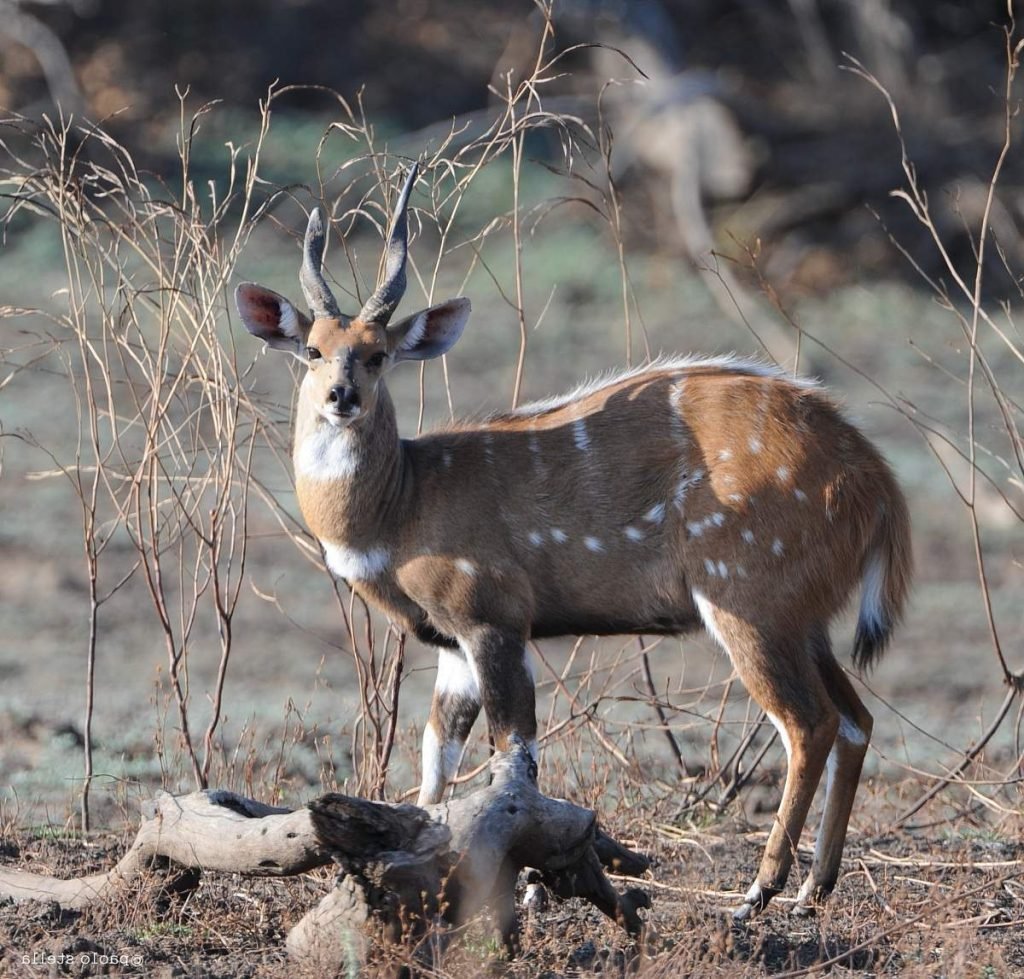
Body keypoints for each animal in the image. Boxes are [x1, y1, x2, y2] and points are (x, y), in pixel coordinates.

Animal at [237, 162, 913, 917]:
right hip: (805, 619)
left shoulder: (493, 619)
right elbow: (437, 758)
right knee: (857, 718)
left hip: (749, 601)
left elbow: (514, 753)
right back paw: (812, 890)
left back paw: (757, 891)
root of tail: (876, 476)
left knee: (810, 724)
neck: (405, 501)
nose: (341, 397)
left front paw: (526, 889)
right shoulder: (452, 646)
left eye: (378, 355)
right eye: (313, 350)